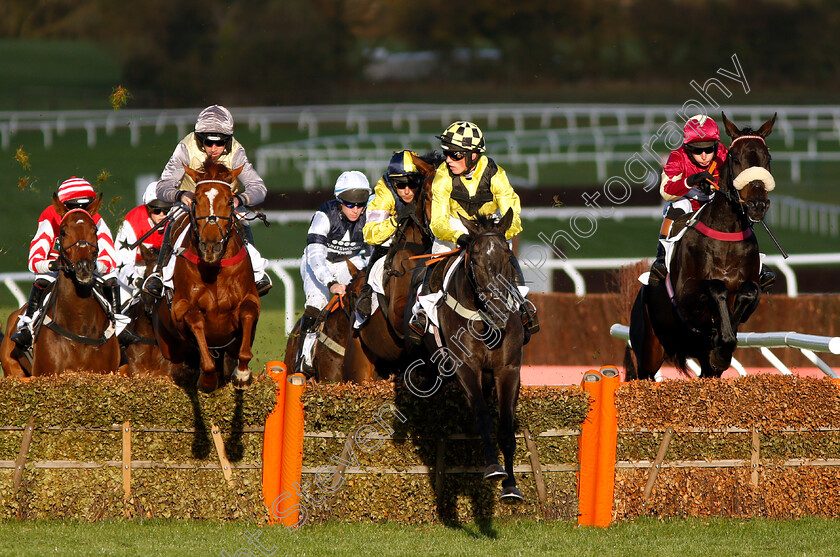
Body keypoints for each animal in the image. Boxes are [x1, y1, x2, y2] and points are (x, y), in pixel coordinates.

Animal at [149, 156, 258, 390]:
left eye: (230, 202)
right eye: (196, 202)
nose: (211, 247)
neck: (213, 270)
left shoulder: (250, 299)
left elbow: (247, 313)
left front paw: (242, 373)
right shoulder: (180, 307)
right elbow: (196, 321)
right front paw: (207, 379)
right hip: (170, 347)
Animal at [628, 112, 776, 378]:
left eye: (767, 158)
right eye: (735, 157)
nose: (757, 204)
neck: (726, 239)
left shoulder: (752, 292)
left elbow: (748, 292)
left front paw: (722, 343)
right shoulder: (685, 296)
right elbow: (716, 286)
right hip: (648, 350)